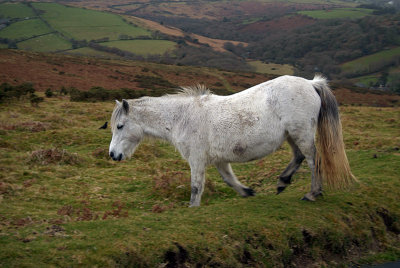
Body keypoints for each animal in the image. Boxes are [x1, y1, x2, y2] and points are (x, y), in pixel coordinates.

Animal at [108, 75, 354, 207]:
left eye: (119, 126)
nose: (113, 155)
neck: (183, 117)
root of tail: (311, 83)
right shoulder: (218, 159)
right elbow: (228, 179)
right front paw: (247, 192)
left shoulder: (197, 160)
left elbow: (196, 187)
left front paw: (192, 207)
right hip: (292, 136)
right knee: (299, 156)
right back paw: (283, 181)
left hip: (301, 133)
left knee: (313, 160)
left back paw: (312, 193)